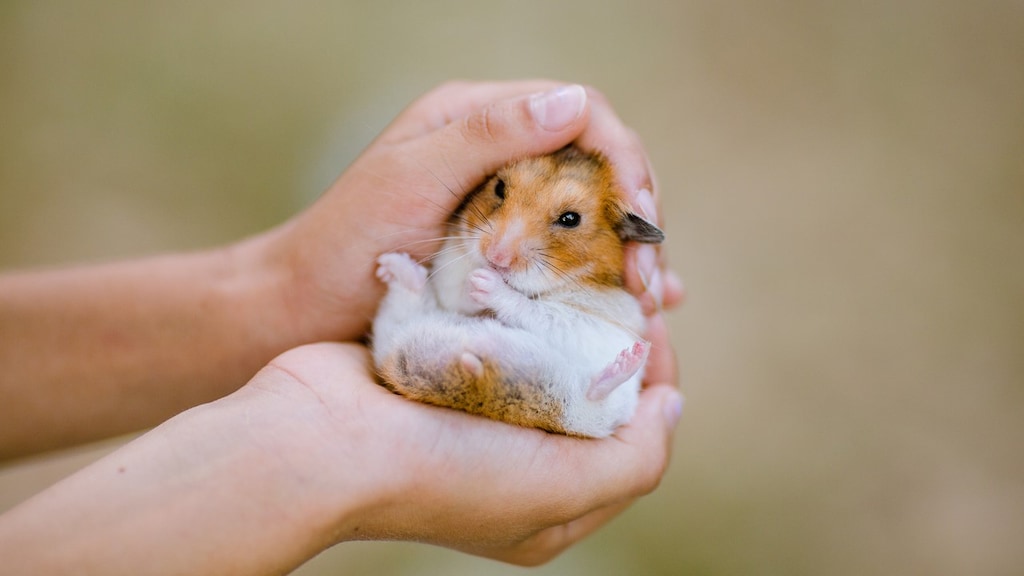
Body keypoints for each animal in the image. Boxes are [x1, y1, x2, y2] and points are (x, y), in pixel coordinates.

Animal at [371, 146, 665, 438]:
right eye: (499, 187)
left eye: (571, 219)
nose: (495, 257)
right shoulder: (449, 272)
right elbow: (456, 292)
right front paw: (475, 279)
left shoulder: (593, 323)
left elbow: (537, 310)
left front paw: (484, 282)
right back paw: (393, 267)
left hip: (597, 411)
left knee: (594, 396)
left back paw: (631, 359)